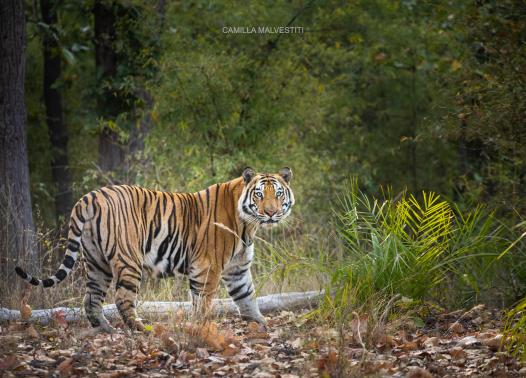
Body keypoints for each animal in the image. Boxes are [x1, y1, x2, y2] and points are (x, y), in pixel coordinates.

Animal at [15, 168, 296, 330]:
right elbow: (203, 302)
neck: (248, 224)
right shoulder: (208, 267)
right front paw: (204, 327)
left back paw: (105, 329)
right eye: (259, 195)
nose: (270, 213)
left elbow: (247, 296)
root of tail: (89, 197)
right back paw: (140, 328)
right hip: (128, 260)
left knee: (91, 298)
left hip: (96, 262)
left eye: (278, 194)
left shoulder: (237, 269)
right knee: (122, 298)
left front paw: (260, 324)